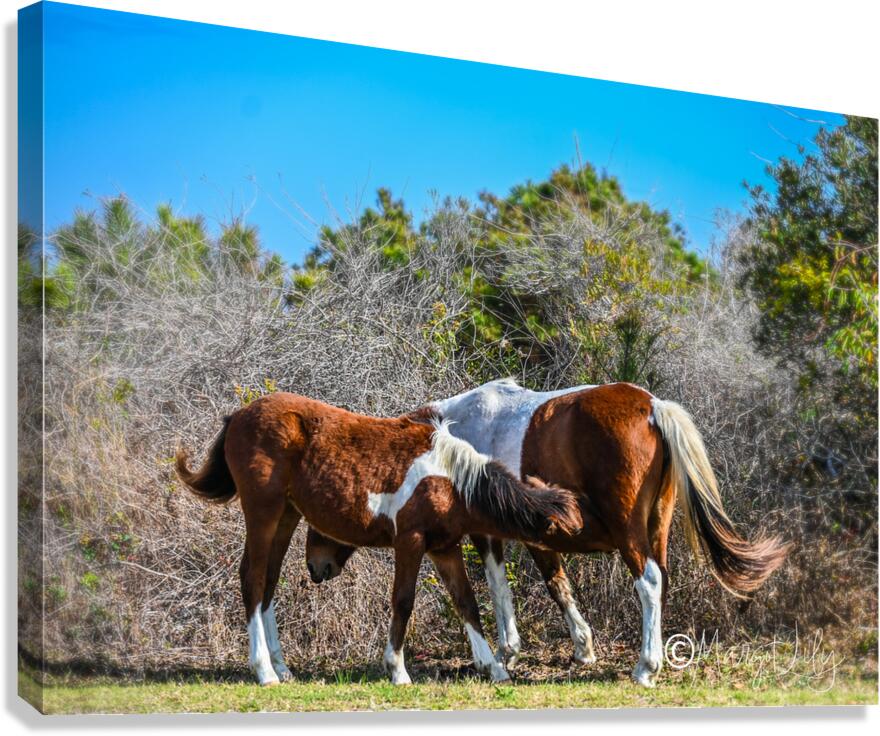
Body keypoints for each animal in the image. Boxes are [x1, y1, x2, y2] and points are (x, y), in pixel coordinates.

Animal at [175, 391, 582, 686]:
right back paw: (264, 671)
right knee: (253, 579)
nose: (569, 560)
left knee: (269, 584)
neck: (447, 477)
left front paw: (493, 667)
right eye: (559, 532)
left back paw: (282, 667)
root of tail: (239, 416)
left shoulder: (445, 548)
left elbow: (466, 603)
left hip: (285, 517)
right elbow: (403, 601)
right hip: (263, 513)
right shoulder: (410, 542)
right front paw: (397, 670)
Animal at [305, 379, 789, 687]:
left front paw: (506, 652)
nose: (316, 567)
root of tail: (651, 407)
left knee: (648, 581)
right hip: (658, 525)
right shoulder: (536, 533)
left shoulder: (488, 535)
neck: (454, 432)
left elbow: (499, 589)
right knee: (660, 580)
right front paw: (582, 647)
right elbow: (558, 585)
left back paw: (645, 667)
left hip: (629, 530)